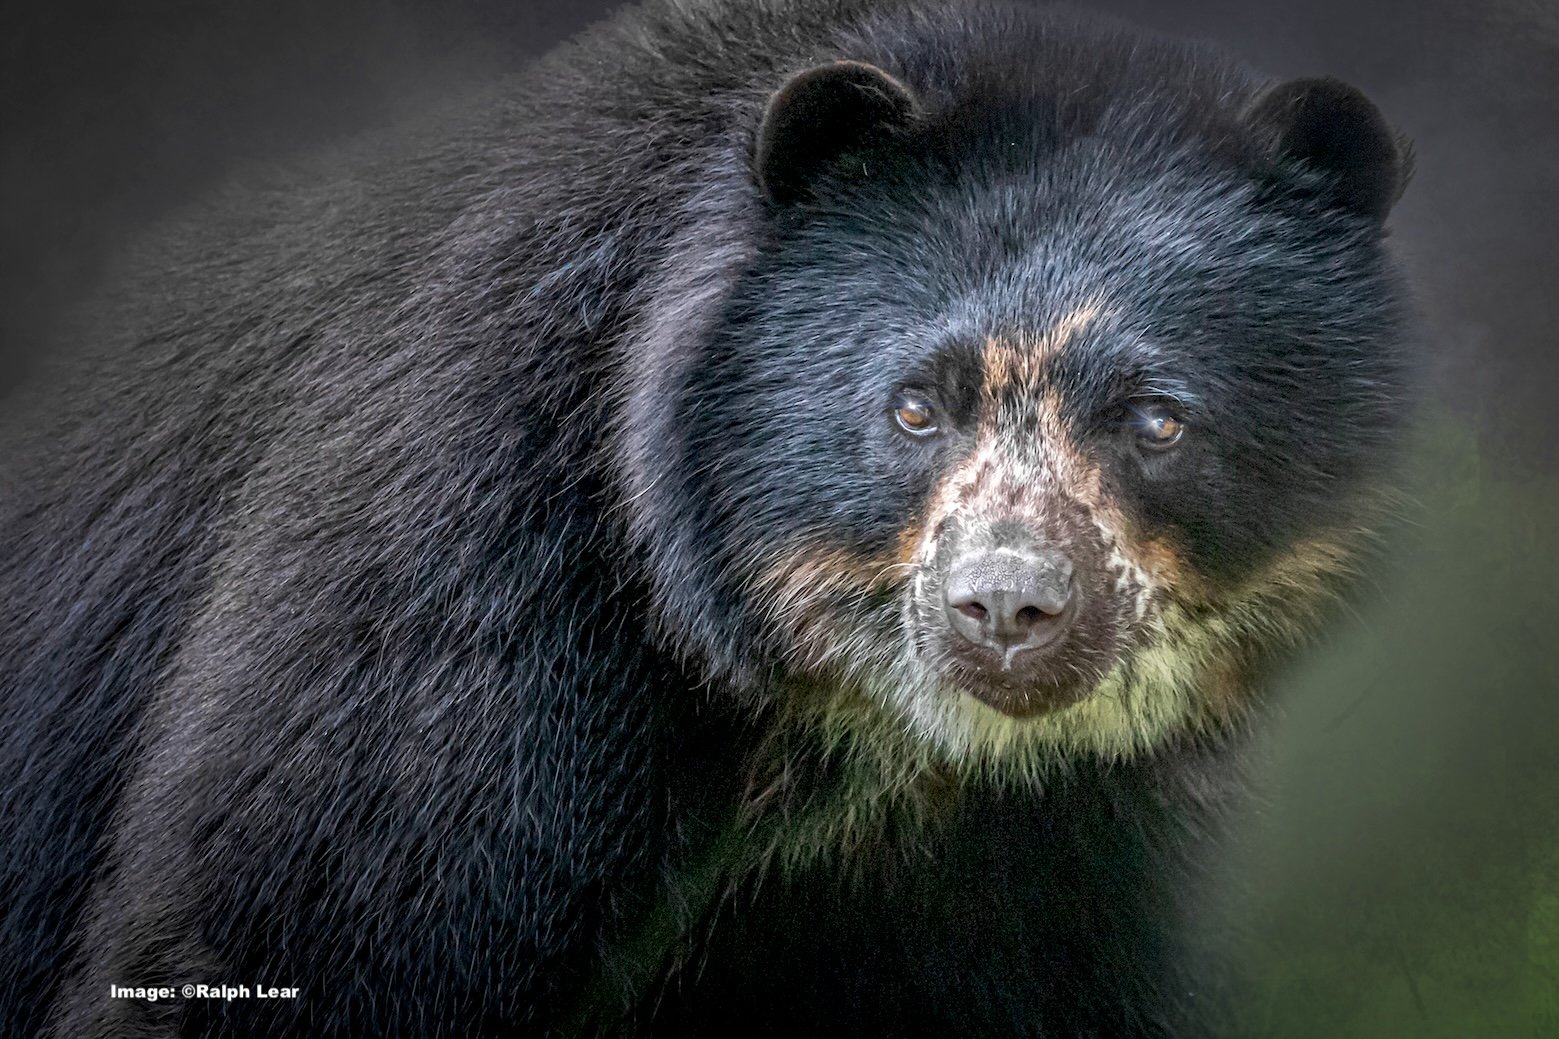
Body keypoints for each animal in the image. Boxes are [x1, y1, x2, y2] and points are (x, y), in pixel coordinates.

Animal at [0, 0, 1415, 1035]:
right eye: (916, 406)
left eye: (1154, 419)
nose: (1006, 608)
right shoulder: (471, 569)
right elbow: (283, 920)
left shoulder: (1045, 844)